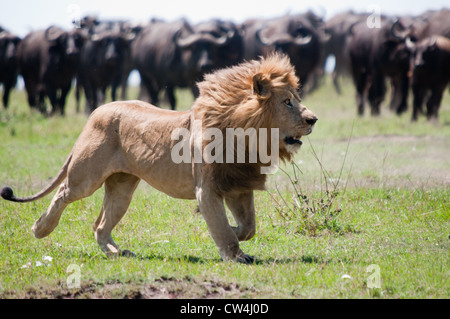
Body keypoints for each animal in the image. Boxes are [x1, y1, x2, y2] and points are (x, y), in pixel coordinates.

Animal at [0, 53, 316, 264]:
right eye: (287, 102)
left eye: (297, 99)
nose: (312, 119)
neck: (249, 135)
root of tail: (96, 111)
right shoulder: (207, 188)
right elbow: (222, 226)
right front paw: (233, 253)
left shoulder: (238, 185)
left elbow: (248, 227)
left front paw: (233, 236)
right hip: (86, 177)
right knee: (64, 192)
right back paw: (41, 228)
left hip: (122, 187)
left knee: (100, 225)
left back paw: (115, 252)